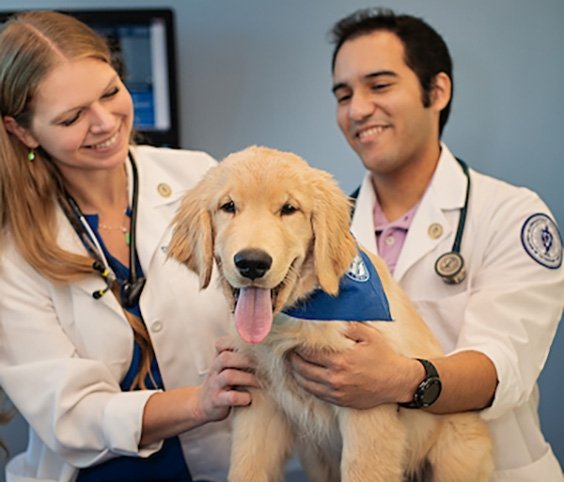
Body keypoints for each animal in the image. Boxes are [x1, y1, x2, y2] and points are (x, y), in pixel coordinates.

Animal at [169, 147, 494, 482]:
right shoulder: (257, 401)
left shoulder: (367, 404)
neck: (294, 317)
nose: (252, 263)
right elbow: (247, 467)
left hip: (456, 455)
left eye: (289, 209)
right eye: (228, 206)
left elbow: (363, 470)